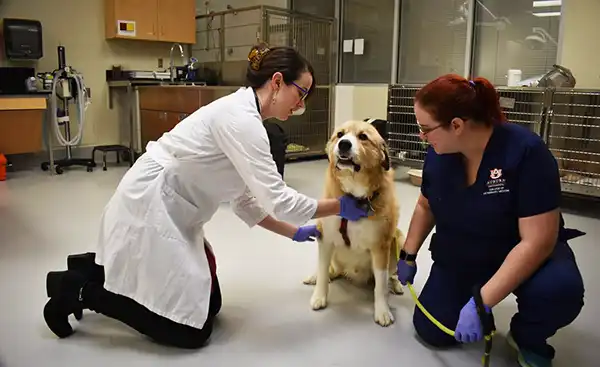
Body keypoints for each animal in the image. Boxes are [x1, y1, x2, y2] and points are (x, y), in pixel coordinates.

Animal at [302, 118, 406, 328]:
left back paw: (397, 284)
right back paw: (317, 276)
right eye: (340, 134)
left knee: (392, 274)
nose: (344, 144)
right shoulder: (325, 238)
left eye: (363, 136)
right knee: (330, 270)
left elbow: (380, 285)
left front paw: (382, 311)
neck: (354, 194)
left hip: (399, 238)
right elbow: (323, 271)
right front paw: (319, 296)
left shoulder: (381, 247)